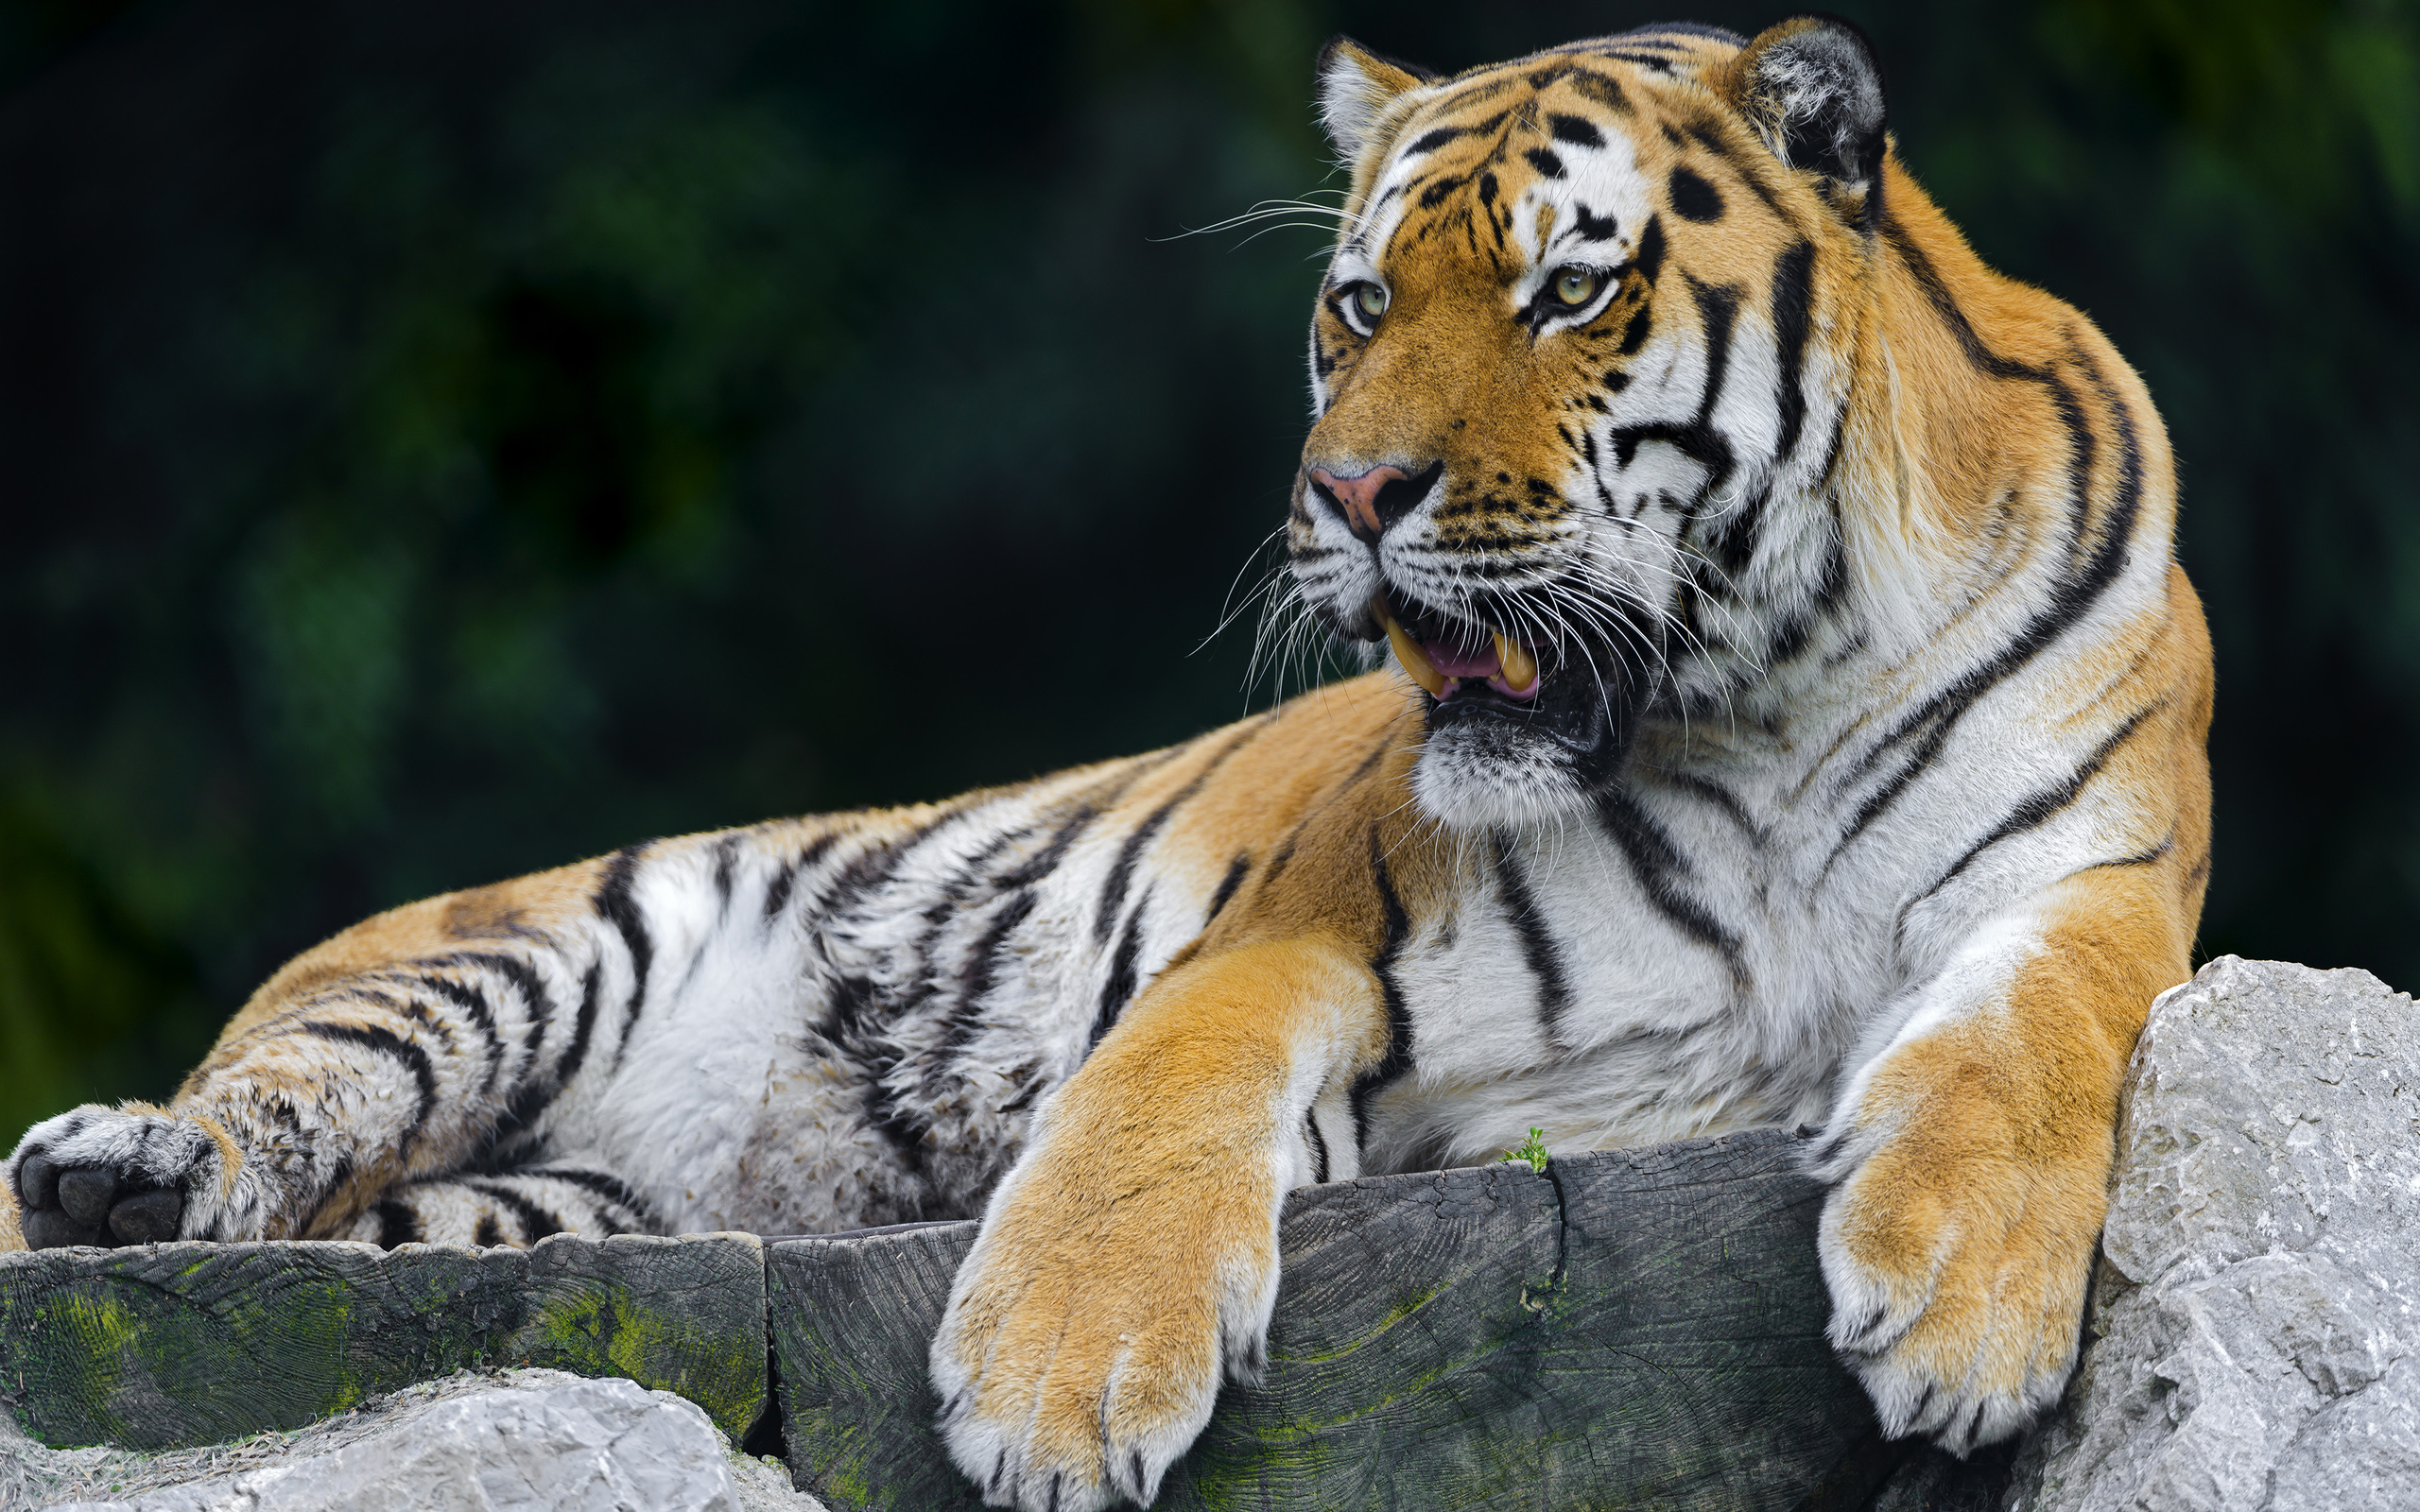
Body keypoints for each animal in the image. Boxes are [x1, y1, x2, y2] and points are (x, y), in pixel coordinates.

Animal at [5, 14, 2216, 1509]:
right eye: (1358, 303)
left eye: (1566, 289)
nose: (1349, 493)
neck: (1762, 698)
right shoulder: (1307, 933)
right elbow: (1154, 1109)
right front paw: (1060, 1389)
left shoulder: (2103, 880)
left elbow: (2042, 1036)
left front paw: (1958, 1310)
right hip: (516, 957)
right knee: (254, 1115)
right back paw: (119, 1164)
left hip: (537, 1211)